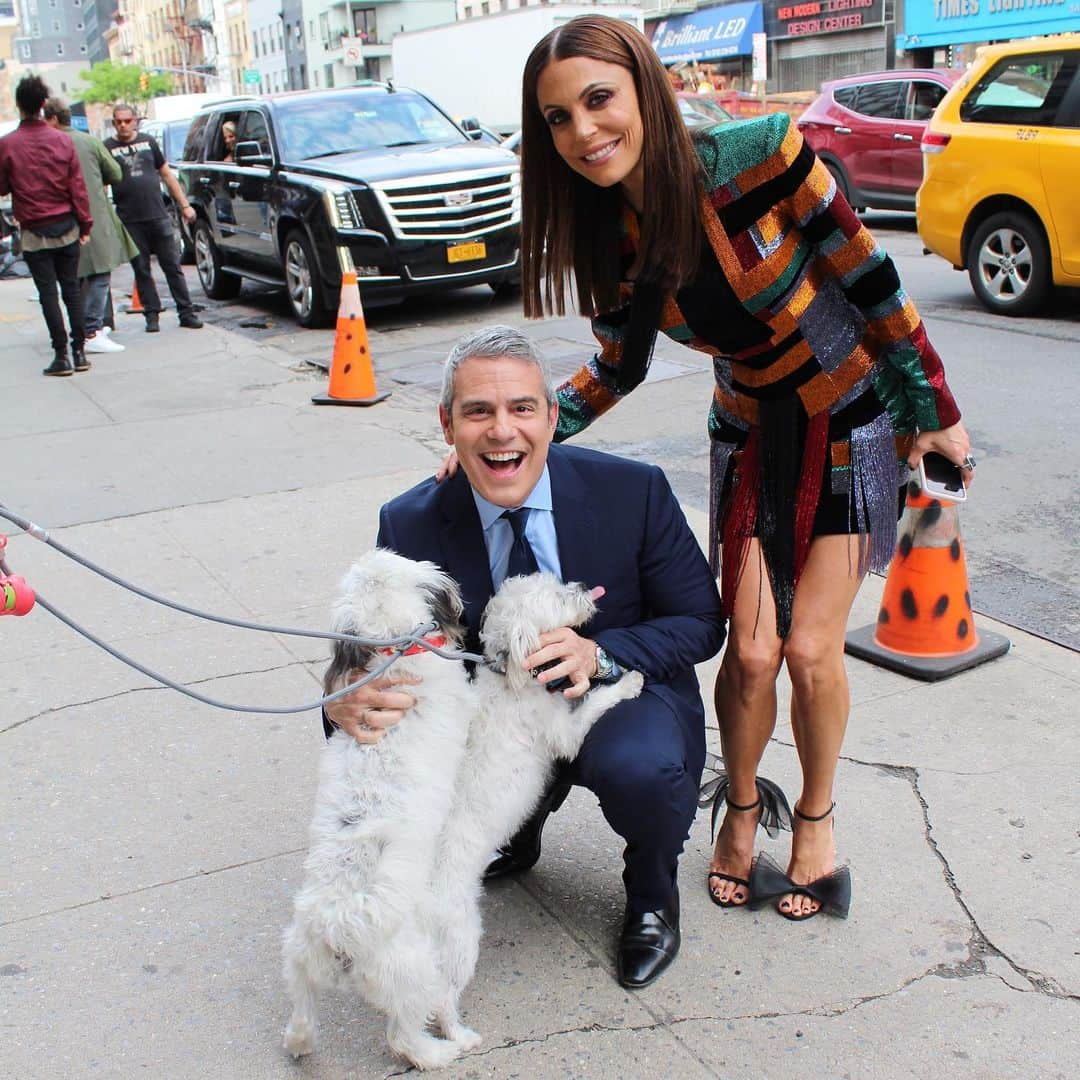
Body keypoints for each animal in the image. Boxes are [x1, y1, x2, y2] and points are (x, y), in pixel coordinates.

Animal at [280, 557, 475, 1071]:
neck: (394, 644)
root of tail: (337, 929)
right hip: (417, 974)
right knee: (404, 1036)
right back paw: (443, 1050)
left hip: (299, 960)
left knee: (301, 1016)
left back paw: (300, 1044)